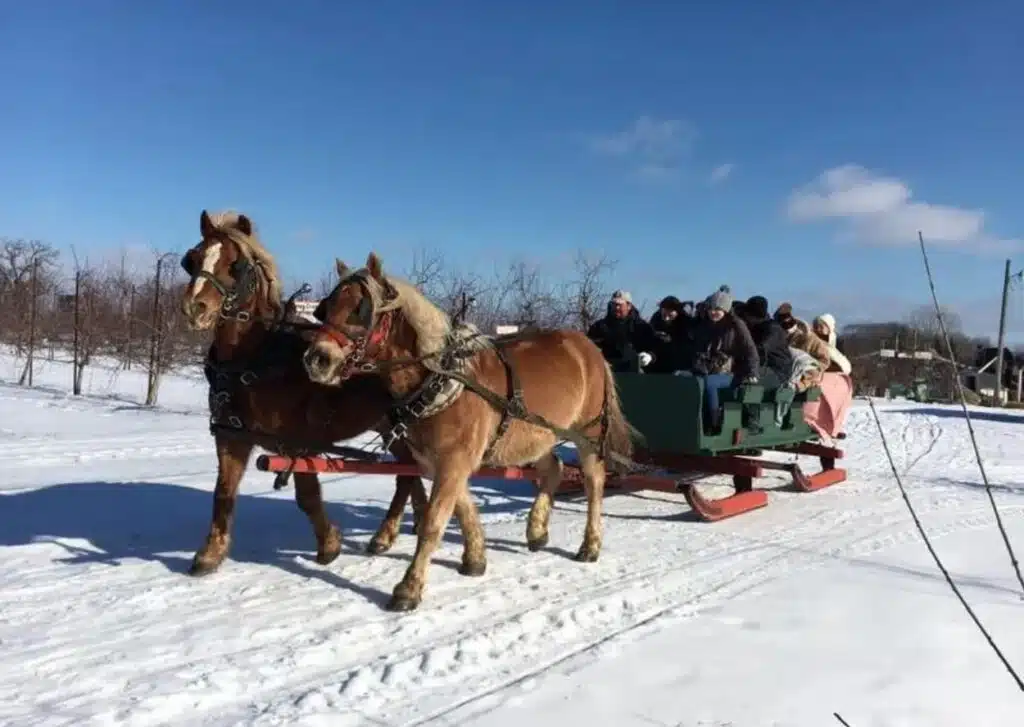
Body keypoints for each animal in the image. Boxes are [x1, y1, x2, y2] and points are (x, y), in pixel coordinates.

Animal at [178, 210, 430, 576]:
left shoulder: (298, 442)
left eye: (236, 264)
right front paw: (210, 554)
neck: (255, 360)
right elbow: (223, 491)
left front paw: (329, 545)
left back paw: (392, 531)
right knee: (410, 472)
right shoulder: (231, 436)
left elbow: (307, 495)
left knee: (408, 474)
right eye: (192, 259)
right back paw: (405, 526)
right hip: (392, 428)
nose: (194, 307)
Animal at [302, 252, 637, 611]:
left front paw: (409, 588)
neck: (441, 379)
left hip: (587, 433)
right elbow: (462, 507)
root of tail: (589, 346)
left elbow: (434, 521)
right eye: (325, 308)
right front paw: (475, 558)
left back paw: (590, 545)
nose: (316, 359)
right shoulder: (439, 462)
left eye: (360, 309)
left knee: (594, 483)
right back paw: (536, 531)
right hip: (537, 436)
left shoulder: (454, 460)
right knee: (553, 469)